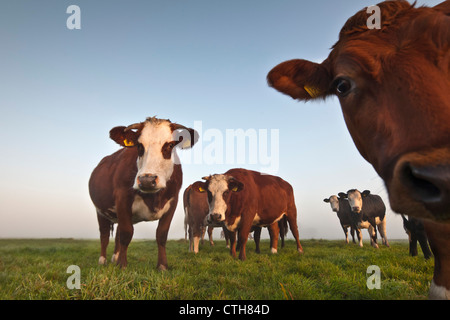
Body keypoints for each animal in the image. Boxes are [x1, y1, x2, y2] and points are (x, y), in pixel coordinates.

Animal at [89, 116, 198, 268]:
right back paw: (102, 260)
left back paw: (115, 257)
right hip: (100, 211)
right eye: (139, 146)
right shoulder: (122, 199)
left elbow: (161, 234)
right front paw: (122, 265)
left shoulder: (173, 201)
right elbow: (126, 233)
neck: (154, 197)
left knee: (116, 234)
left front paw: (162, 266)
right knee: (104, 235)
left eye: (170, 145)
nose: (147, 180)